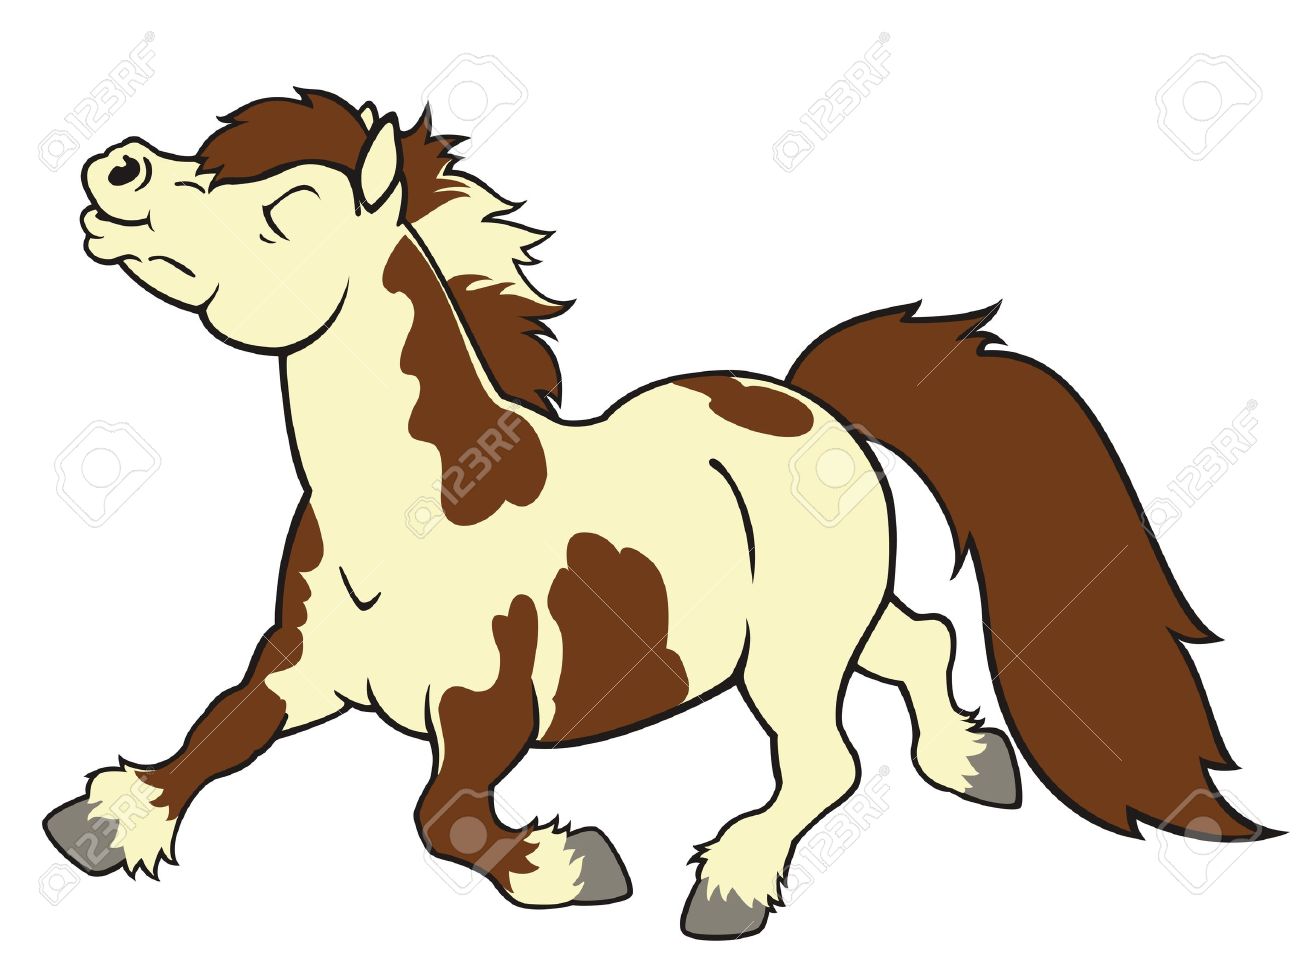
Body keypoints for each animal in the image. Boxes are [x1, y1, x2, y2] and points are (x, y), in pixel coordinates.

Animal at [46, 89, 1275, 939]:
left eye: (289, 210)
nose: (114, 168)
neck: (412, 517)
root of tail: (811, 402)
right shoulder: (302, 669)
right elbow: (217, 731)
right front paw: (109, 819)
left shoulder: (489, 712)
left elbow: (442, 817)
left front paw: (571, 864)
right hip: (816, 626)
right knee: (918, 639)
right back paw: (972, 762)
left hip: (788, 650)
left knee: (828, 762)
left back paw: (732, 881)